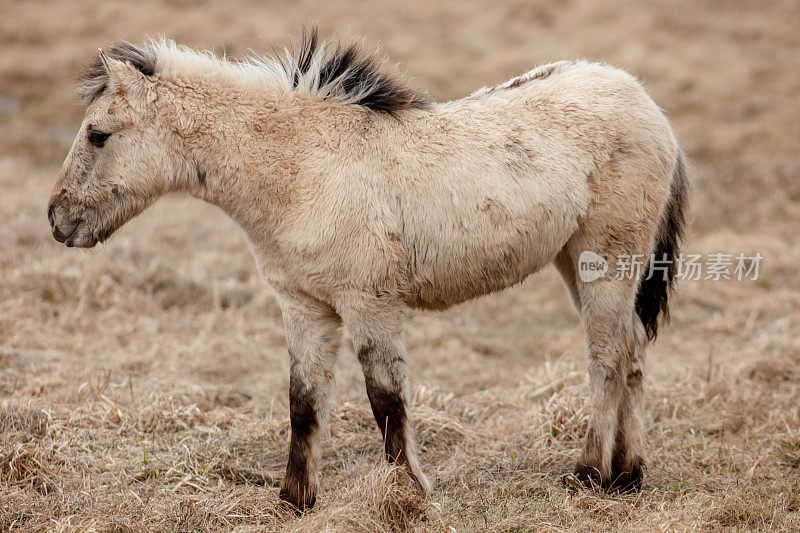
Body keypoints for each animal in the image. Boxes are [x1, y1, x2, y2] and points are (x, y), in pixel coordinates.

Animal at [48, 30, 688, 512]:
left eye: (98, 135)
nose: (57, 220)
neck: (303, 166)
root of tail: (648, 106)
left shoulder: (368, 304)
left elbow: (385, 398)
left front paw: (408, 492)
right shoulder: (304, 308)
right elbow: (304, 402)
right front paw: (295, 499)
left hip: (605, 261)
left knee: (607, 357)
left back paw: (588, 474)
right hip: (579, 264)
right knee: (632, 350)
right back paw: (629, 475)